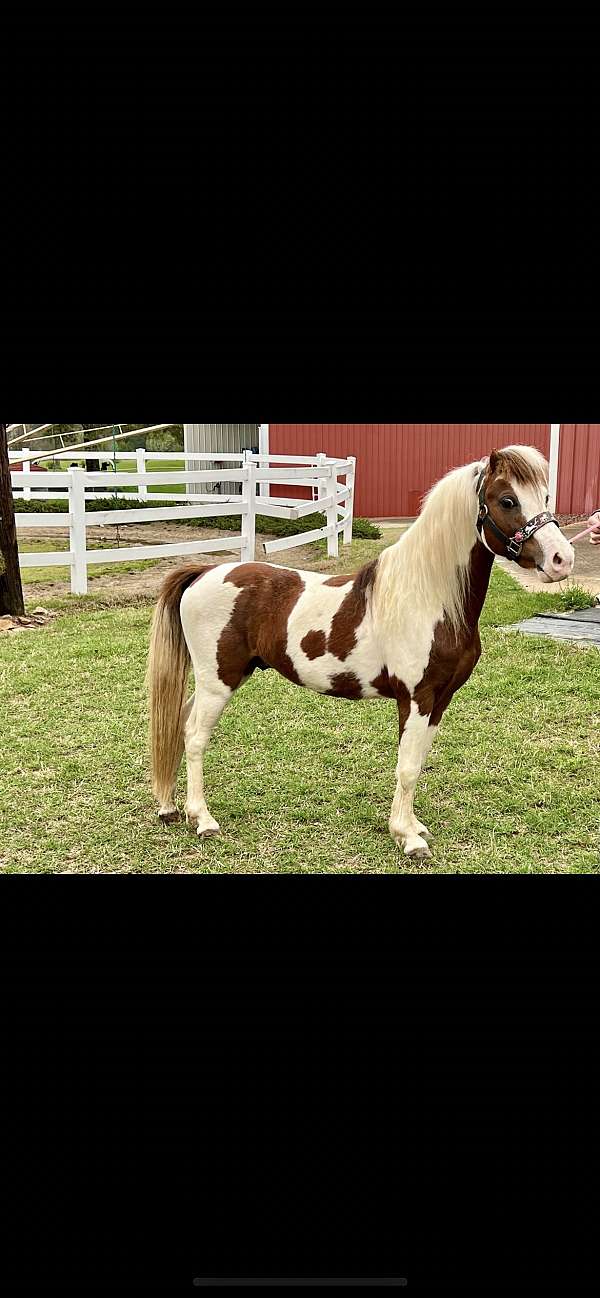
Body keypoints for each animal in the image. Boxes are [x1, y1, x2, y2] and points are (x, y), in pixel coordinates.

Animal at [147, 445, 574, 859]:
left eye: (545, 495)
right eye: (507, 500)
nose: (562, 560)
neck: (429, 597)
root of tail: (203, 572)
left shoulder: (440, 699)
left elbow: (417, 761)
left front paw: (413, 826)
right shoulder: (416, 698)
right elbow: (406, 768)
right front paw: (407, 838)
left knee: (177, 725)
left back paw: (170, 807)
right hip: (218, 682)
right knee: (195, 737)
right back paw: (203, 819)